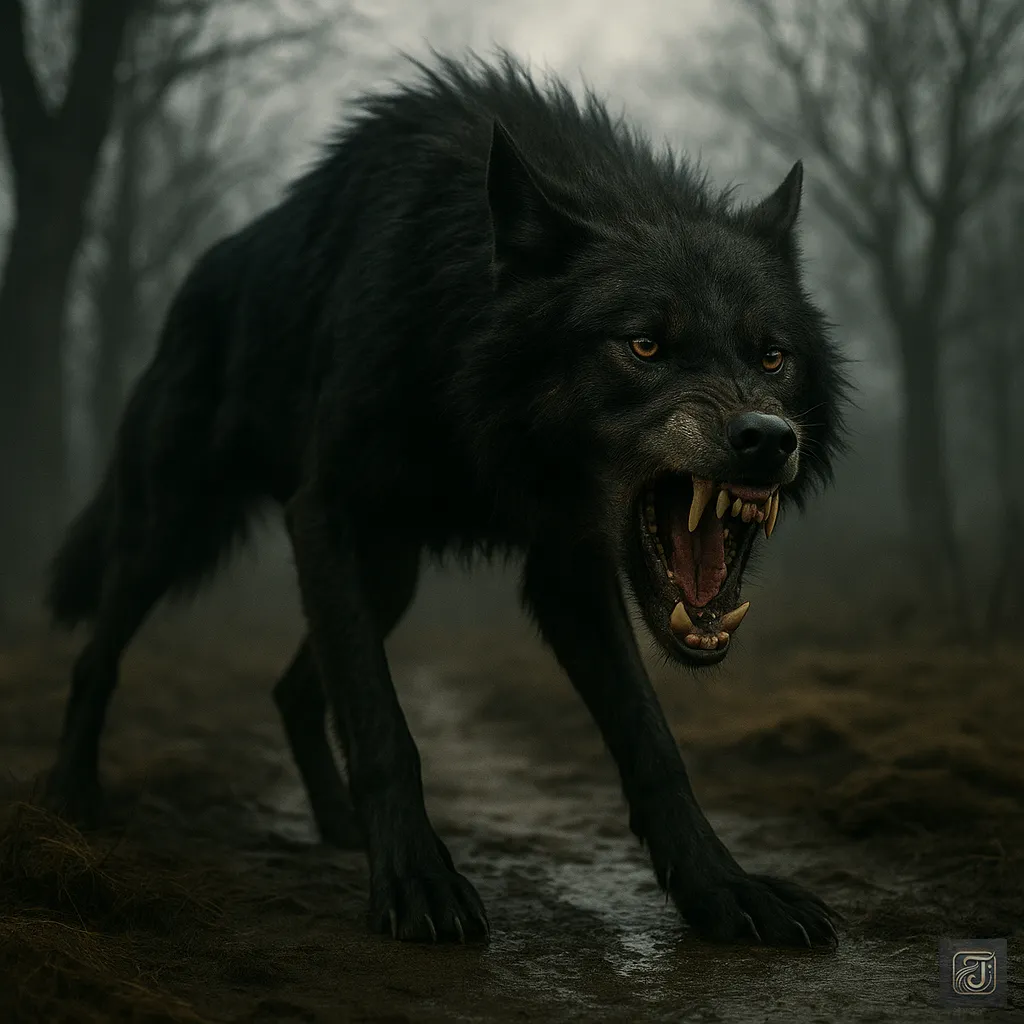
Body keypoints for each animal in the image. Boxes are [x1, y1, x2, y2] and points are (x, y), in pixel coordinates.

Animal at [44, 52, 848, 947]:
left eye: (772, 356)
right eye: (644, 344)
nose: (767, 439)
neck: (464, 374)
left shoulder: (565, 565)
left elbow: (651, 741)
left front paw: (722, 889)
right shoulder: (324, 512)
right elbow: (384, 726)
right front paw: (416, 880)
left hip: (388, 575)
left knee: (293, 690)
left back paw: (338, 827)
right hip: (173, 530)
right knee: (98, 654)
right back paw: (72, 796)